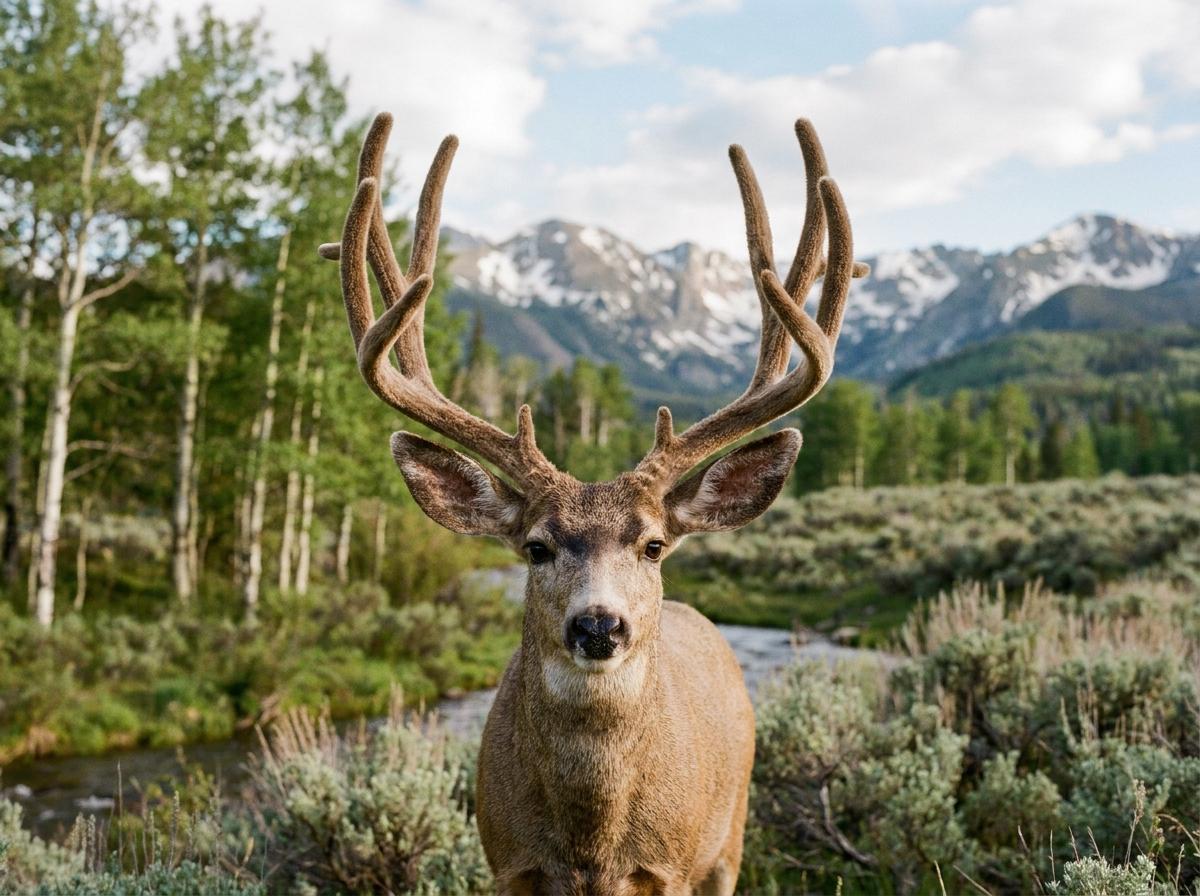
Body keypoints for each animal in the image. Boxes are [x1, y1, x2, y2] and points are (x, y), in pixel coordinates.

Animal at [318, 112, 865, 895]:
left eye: (654, 544)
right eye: (536, 547)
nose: (599, 624)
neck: (590, 845)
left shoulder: (671, 867)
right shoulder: (508, 863)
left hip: (730, 837)